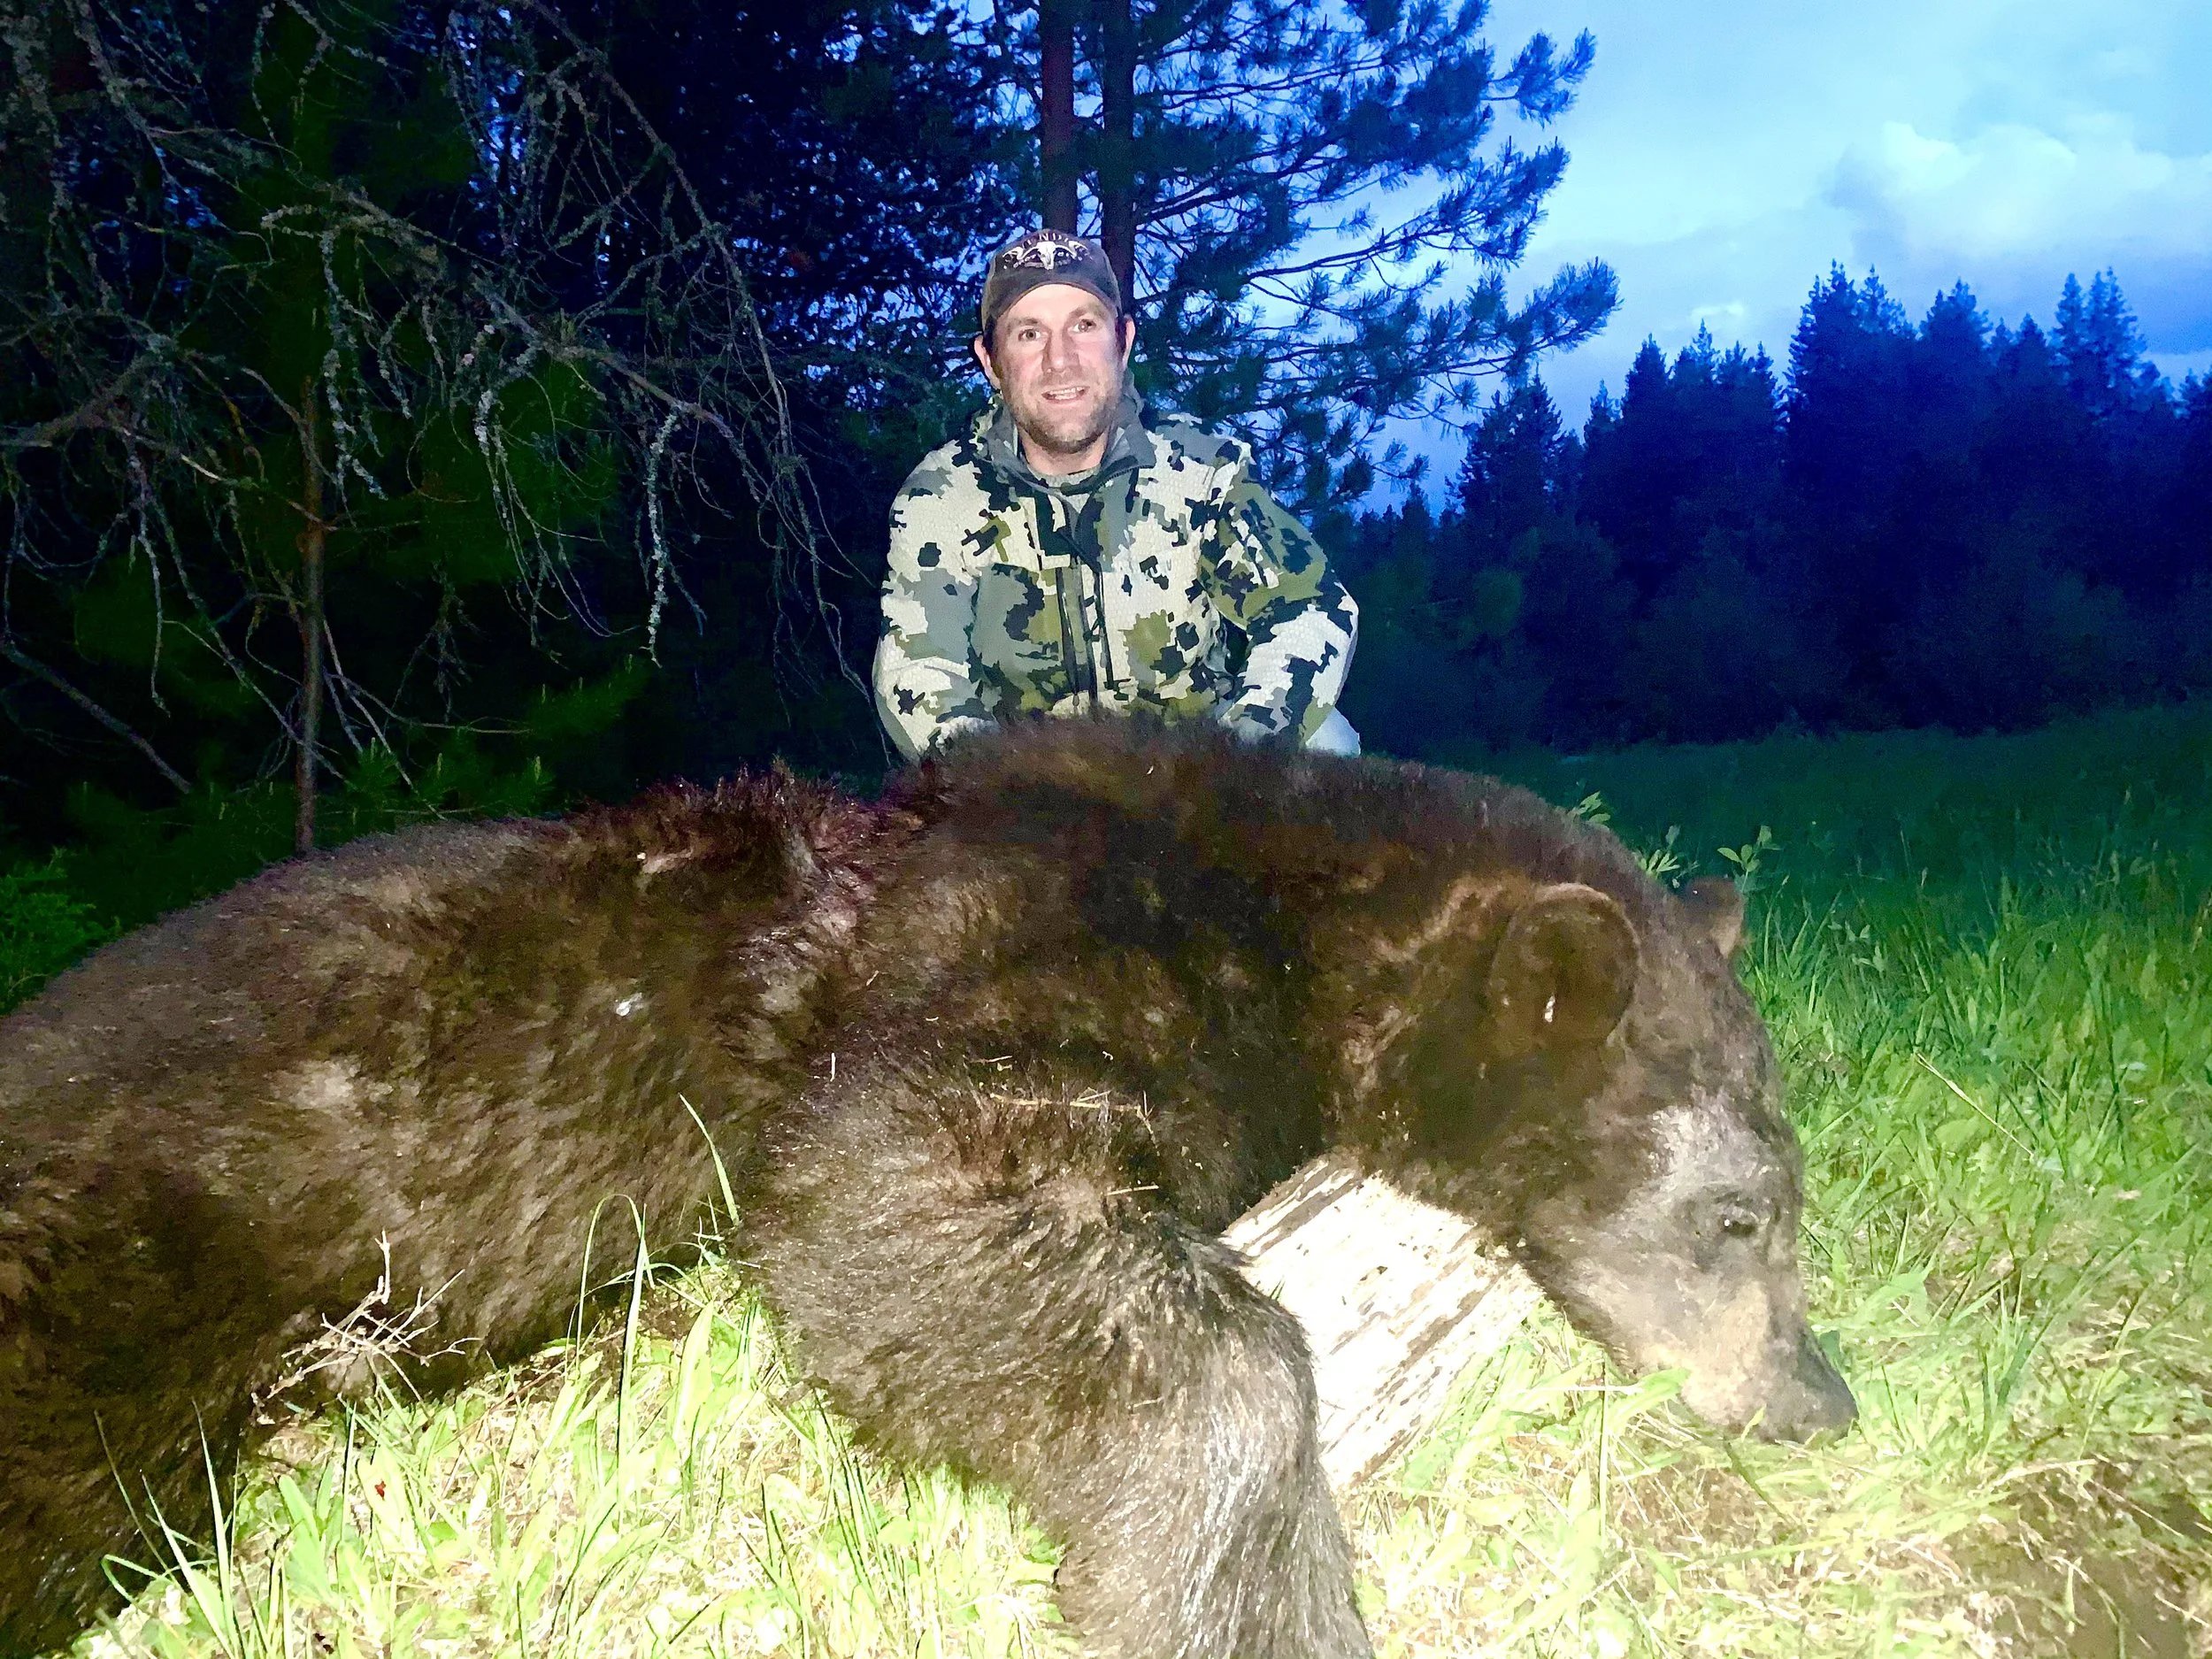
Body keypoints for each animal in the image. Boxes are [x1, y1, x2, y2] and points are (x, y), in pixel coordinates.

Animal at [0, 720, 1854, 1657]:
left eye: (1792, 1199)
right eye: (1738, 1219)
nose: (1821, 1401)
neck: (1300, 909)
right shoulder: (1004, 933)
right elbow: (898, 1173)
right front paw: (1251, 1600)